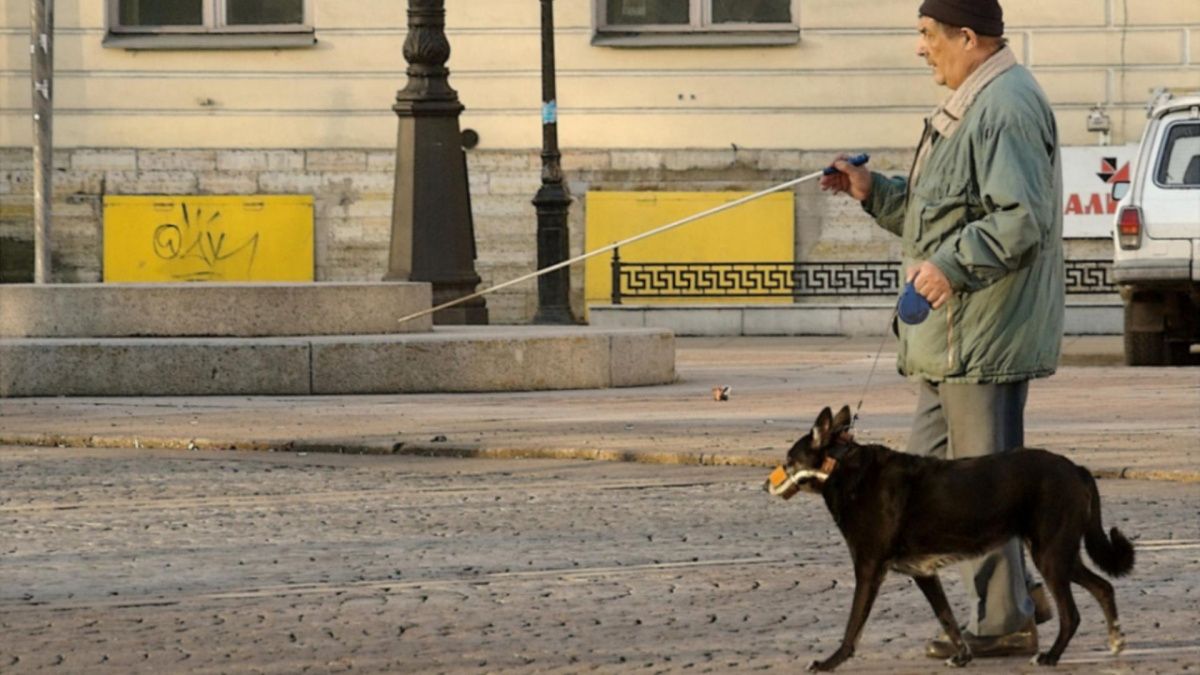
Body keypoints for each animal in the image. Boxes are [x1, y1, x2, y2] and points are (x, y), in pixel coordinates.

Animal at [768, 403, 1132, 667]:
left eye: (788, 460)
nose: (763, 485)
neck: (841, 468)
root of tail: (1077, 469)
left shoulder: (869, 570)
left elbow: (853, 625)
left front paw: (830, 662)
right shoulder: (924, 573)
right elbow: (948, 619)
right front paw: (962, 655)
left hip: (1050, 555)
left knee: (1072, 613)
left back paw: (1052, 656)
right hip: (1060, 553)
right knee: (1104, 587)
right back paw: (1115, 639)